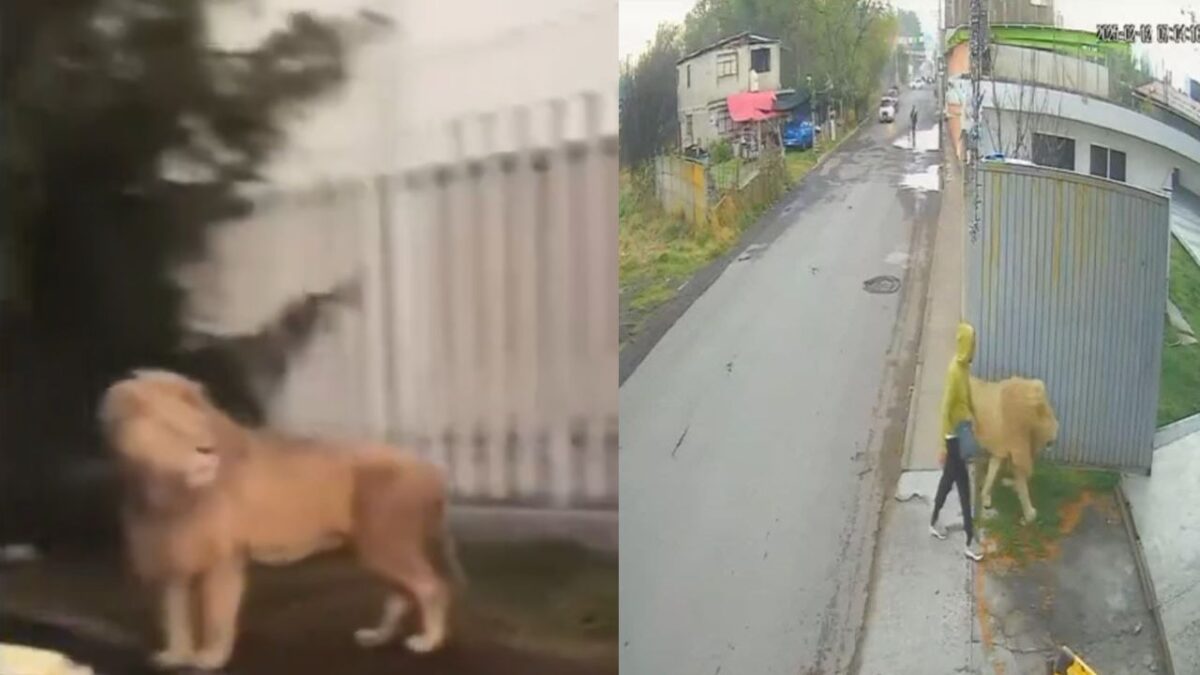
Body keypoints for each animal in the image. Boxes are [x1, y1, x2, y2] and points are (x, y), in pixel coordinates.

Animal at [97, 367, 463, 667]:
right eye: (171, 427)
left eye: (199, 425)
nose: (207, 450)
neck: (165, 491)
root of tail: (432, 469)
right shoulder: (171, 555)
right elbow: (174, 615)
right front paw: (175, 655)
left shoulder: (224, 558)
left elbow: (216, 613)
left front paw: (211, 658)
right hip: (377, 548)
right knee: (402, 594)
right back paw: (377, 636)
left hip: (387, 543)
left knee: (432, 587)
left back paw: (428, 642)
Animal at [964, 374, 1060, 523]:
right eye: (1046, 412)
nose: (1055, 433)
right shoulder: (1017, 444)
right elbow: (1021, 479)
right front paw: (1030, 514)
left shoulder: (1001, 447)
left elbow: (993, 471)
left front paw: (987, 498)